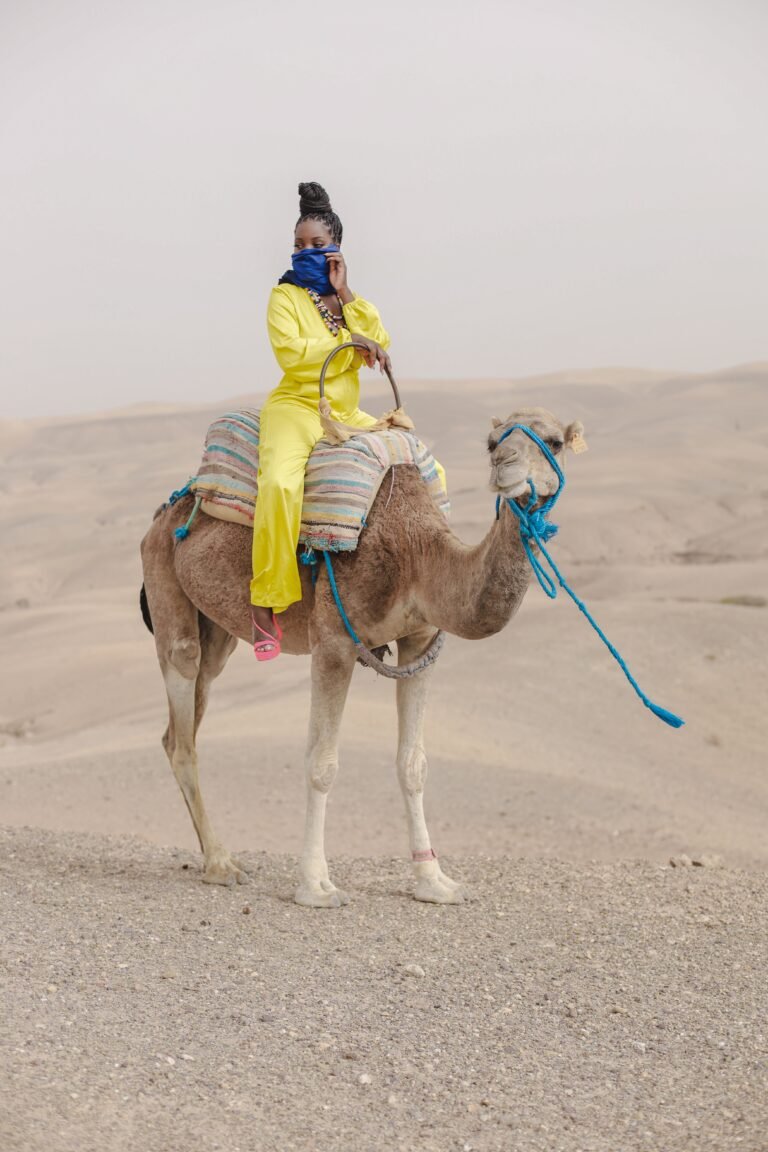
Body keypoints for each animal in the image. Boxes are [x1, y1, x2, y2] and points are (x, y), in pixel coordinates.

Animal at [139, 410, 582, 903]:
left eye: (554, 442)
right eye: (491, 443)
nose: (506, 465)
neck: (417, 556)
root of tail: (167, 512)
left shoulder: (420, 639)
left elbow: (413, 764)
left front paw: (434, 881)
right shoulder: (333, 642)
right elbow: (322, 763)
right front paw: (316, 885)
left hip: (216, 630)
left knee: (183, 718)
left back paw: (213, 857)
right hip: (165, 582)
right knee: (183, 716)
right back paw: (220, 863)